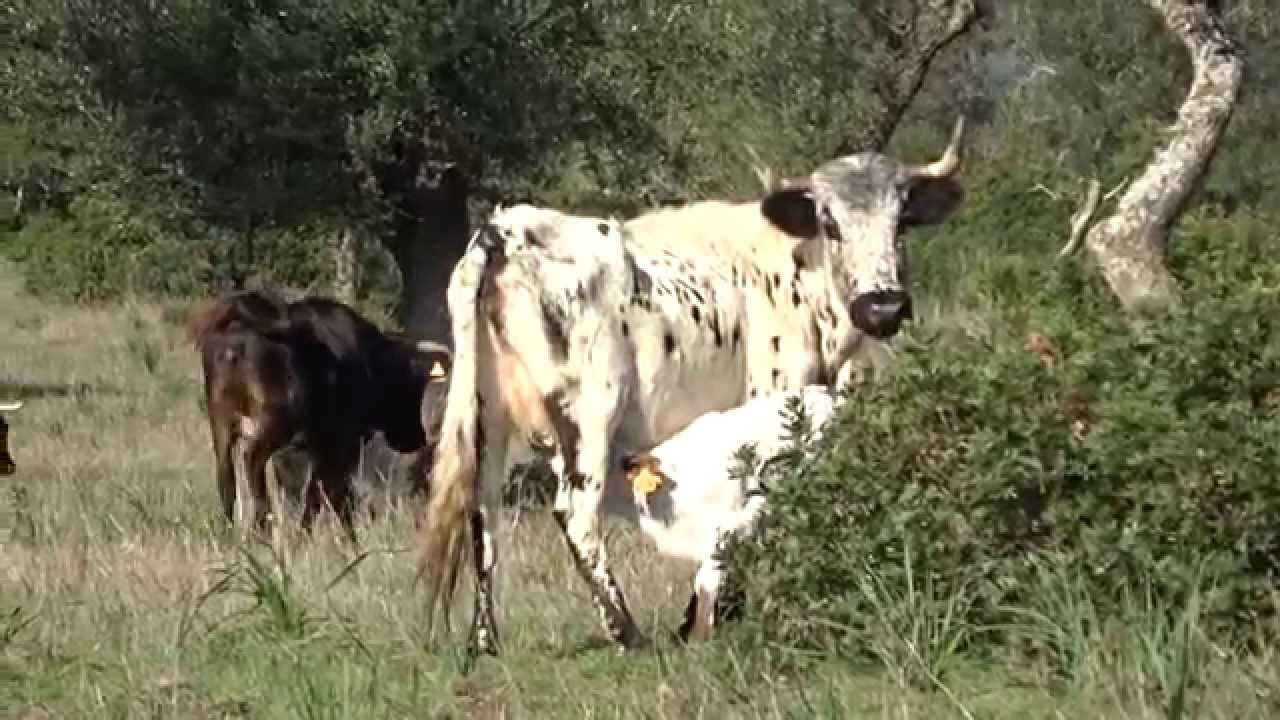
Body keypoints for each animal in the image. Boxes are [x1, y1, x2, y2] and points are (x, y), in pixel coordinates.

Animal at [189, 289, 449, 543]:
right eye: (413, 383)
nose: (418, 436)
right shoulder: (339, 446)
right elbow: (326, 494)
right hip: (272, 427)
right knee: (251, 462)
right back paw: (262, 527)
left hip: (222, 426)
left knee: (226, 478)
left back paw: (230, 534)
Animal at [418, 118, 966, 653]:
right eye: (830, 223)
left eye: (902, 221)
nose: (883, 306)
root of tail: (506, 231)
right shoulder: (773, 402)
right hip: (589, 417)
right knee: (575, 516)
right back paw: (627, 632)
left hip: (486, 416)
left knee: (482, 512)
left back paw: (485, 640)